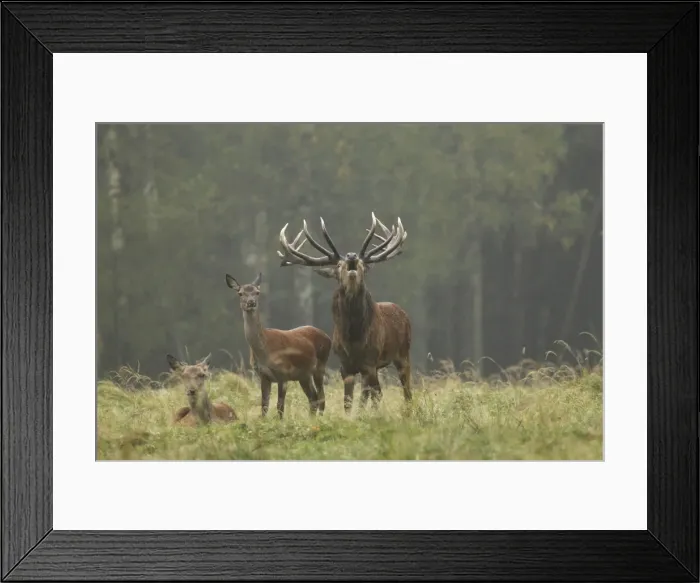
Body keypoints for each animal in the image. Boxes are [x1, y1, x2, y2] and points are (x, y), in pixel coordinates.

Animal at [225, 272, 332, 419]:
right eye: (240, 293)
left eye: (257, 292)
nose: (251, 302)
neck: (265, 352)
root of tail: (327, 336)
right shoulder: (263, 375)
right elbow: (264, 406)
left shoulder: (283, 373)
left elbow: (280, 406)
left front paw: (280, 422)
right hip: (304, 375)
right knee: (313, 397)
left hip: (320, 365)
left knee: (321, 397)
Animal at [277, 212, 412, 414]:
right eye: (338, 265)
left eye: (362, 264)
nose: (352, 256)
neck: (353, 338)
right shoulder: (345, 366)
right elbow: (348, 401)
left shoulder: (369, 362)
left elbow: (368, 398)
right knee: (375, 393)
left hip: (403, 353)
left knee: (406, 390)